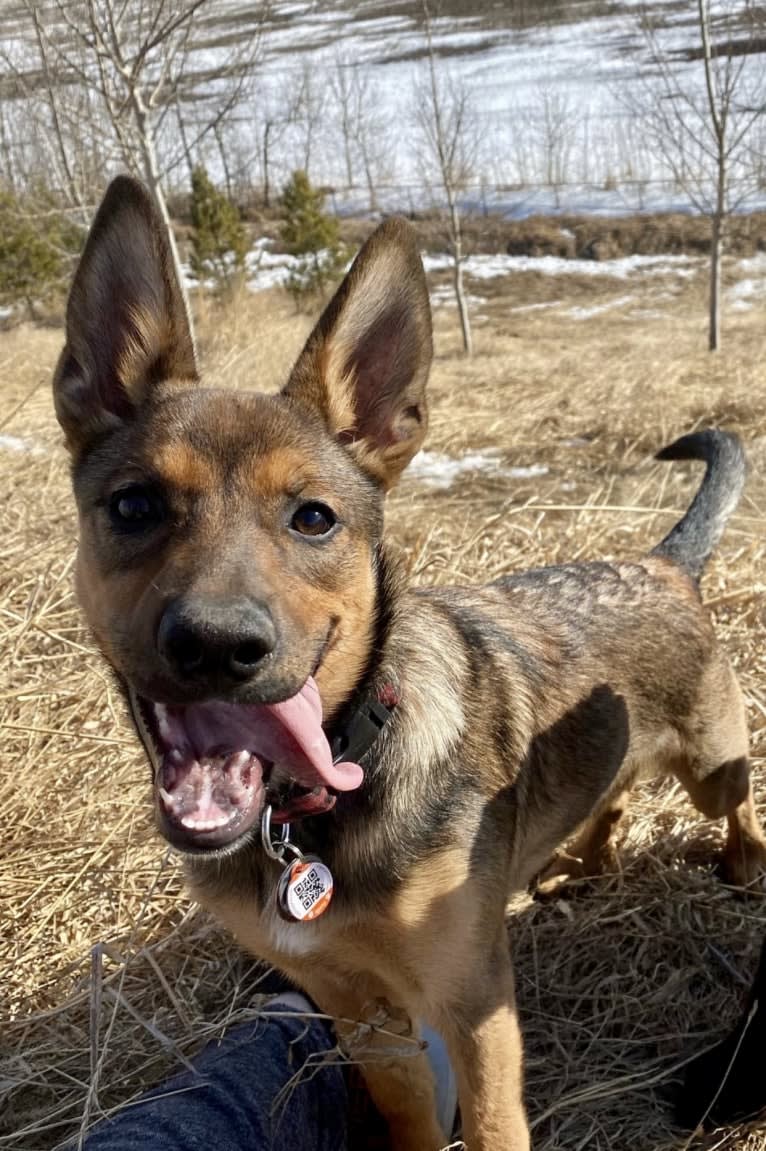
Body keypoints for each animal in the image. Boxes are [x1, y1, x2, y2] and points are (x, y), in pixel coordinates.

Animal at [53, 174, 763, 1146]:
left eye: (313, 517)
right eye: (133, 505)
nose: (217, 646)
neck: (310, 812)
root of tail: (663, 561)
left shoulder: (472, 1004)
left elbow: (494, 1125)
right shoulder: (363, 1015)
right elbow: (409, 1114)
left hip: (711, 766)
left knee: (737, 800)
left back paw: (744, 859)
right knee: (611, 794)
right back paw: (582, 860)